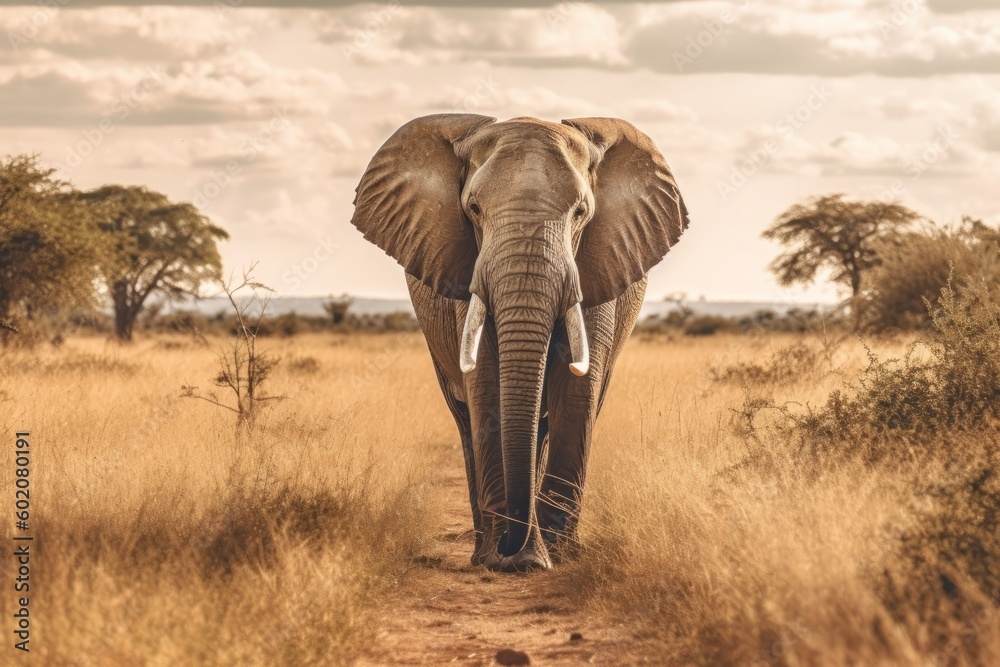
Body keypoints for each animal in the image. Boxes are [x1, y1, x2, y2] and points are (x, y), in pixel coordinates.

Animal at [350, 114, 688, 572]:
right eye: (473, 209)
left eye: (581, 212)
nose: (513, 551)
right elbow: (485, 383)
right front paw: (508, 560)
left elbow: (577, 390)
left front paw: (550, 557)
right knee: (465, 419)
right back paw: (483, 550)